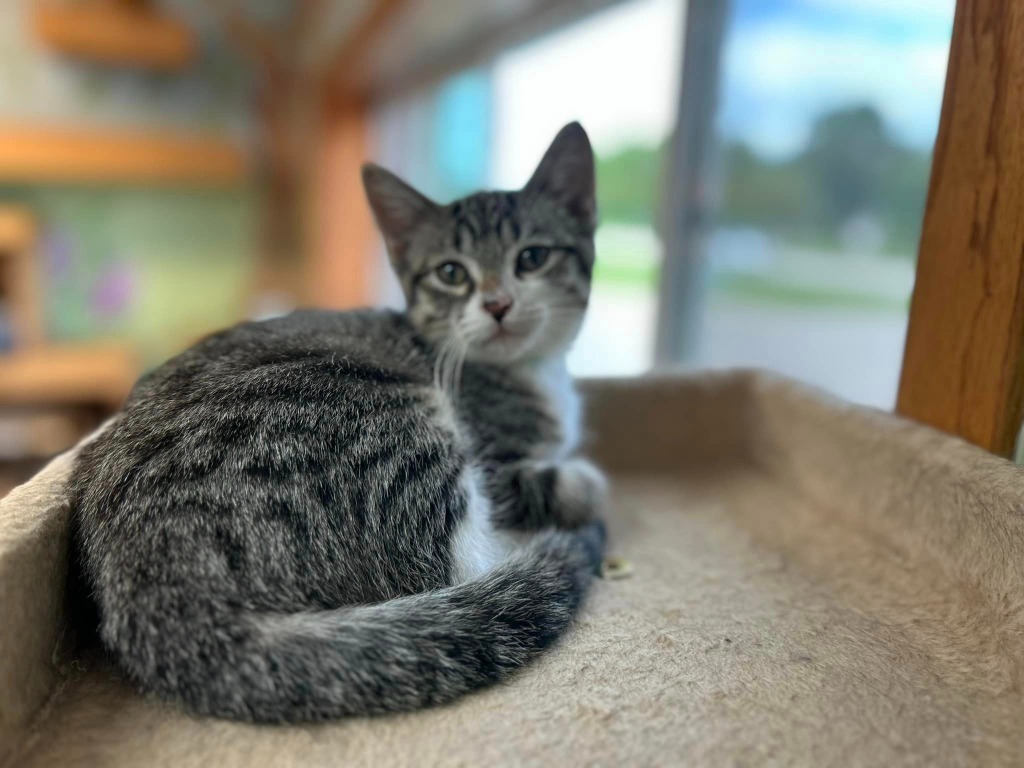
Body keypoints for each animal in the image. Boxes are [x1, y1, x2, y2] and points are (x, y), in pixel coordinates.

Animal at [70, 123, 606, 724]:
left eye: (532, 258)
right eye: (451, 273)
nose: (497, 303)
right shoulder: (499, 463)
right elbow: (567, 484)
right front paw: (585, 486)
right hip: (394, 427)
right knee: (467, 561)